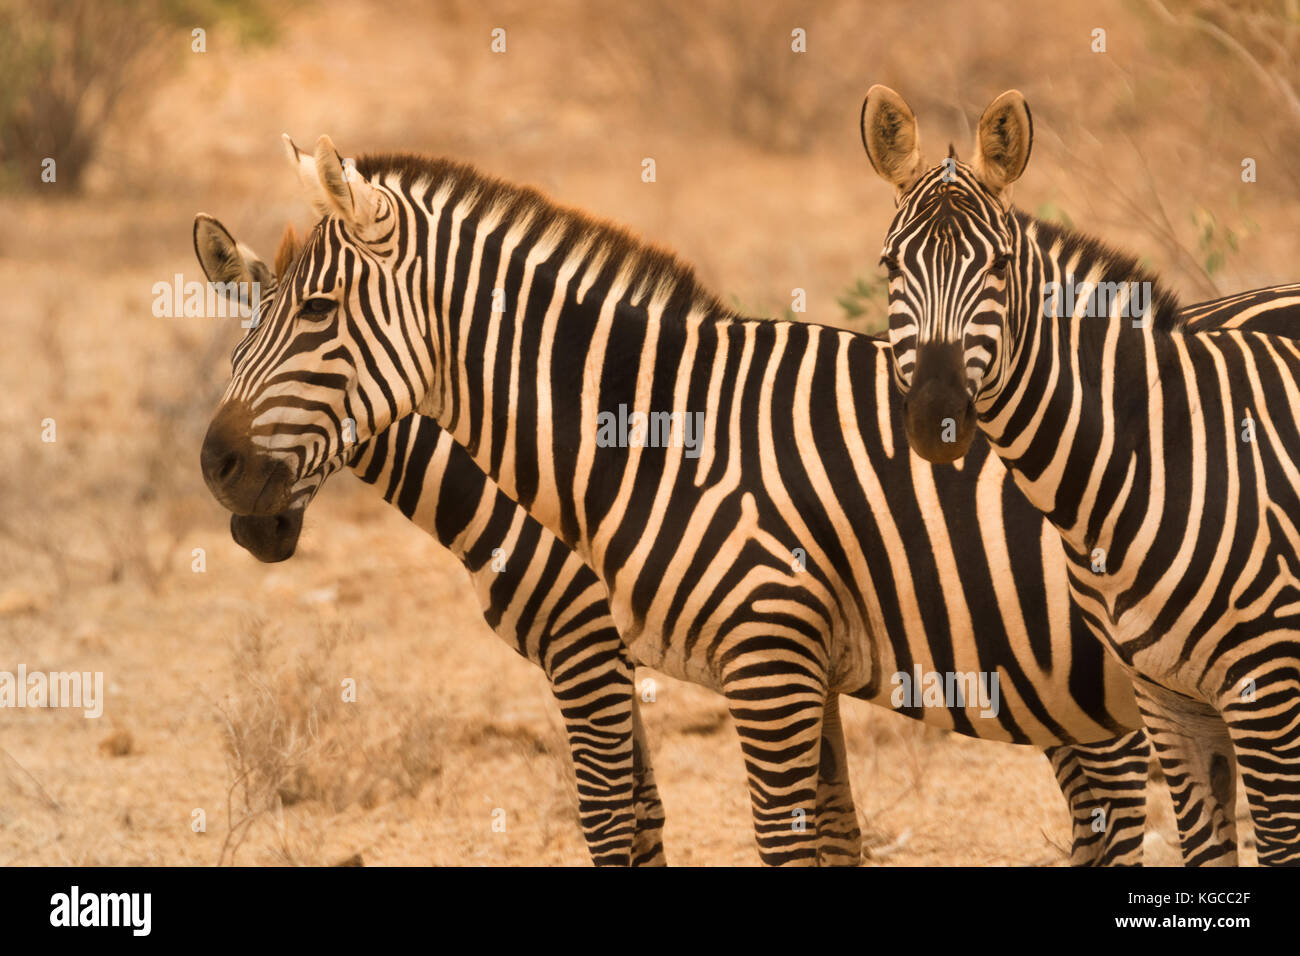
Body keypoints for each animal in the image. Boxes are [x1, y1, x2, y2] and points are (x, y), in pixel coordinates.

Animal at [194, 134, 1265, 865]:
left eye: (318, 313)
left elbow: (618, 823)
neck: (657, 436)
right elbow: (802, 831)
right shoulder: (784, 659)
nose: (217, 468)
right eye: (243, 330)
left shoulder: (606, 650)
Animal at [861, 85, 1300, 865]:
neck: (1153, 459)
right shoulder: (1169, 699)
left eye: (1000, 267)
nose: (936, 415)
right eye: (890, 268)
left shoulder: (1268, 688)